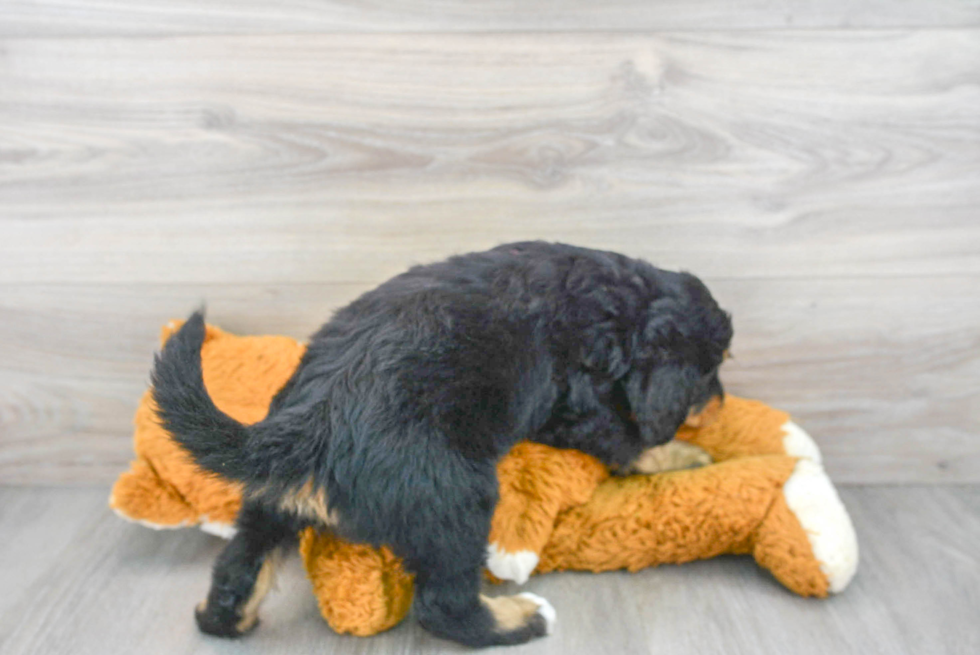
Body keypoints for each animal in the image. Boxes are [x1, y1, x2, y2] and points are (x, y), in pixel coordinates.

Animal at [153, 242, 732, 652]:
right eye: (709, 374)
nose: (722, 405)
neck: (618, 304)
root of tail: (312, 427)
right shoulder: (577, 407)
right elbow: (628, 440)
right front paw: (687, 455)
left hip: (270, 499)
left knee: (239, 565)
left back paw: (224, 617)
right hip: (455, 501)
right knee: (444, 604)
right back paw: (521, 619)